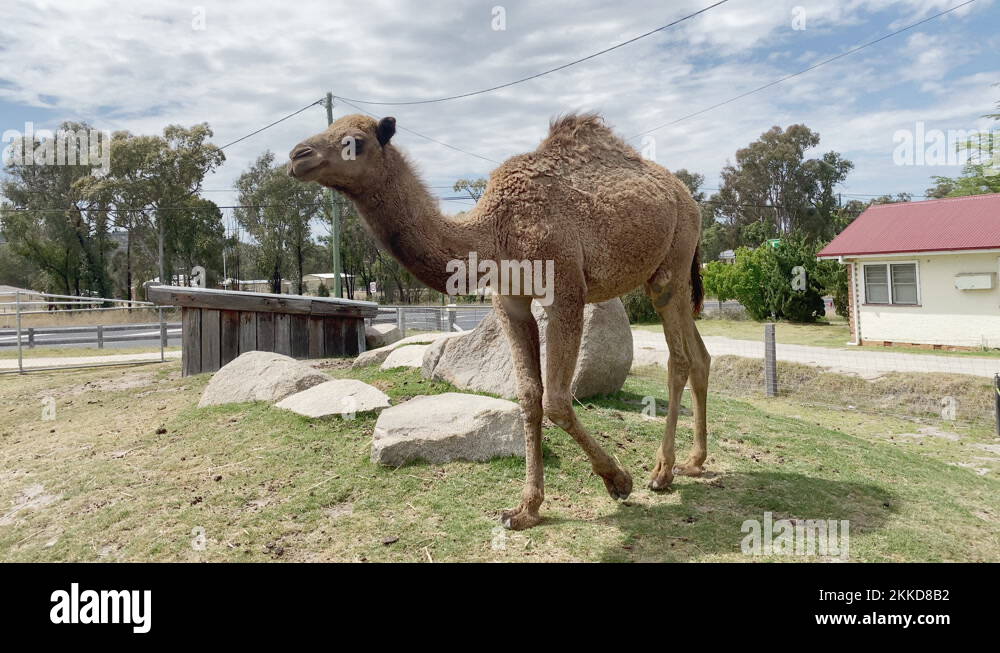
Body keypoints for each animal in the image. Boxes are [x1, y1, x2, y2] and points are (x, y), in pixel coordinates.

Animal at [288, 113, 710, 530]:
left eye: (355, 142)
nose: (297, 155)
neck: (493, 232)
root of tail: (687, 198)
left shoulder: (566, 290)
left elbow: (556, 400)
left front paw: (619, 481)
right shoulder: (510, 301)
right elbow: (528, 396)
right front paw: (525, 509)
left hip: (672, 264)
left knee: (678, 359)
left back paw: (662, 472)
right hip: (667, 273)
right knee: (700, 356)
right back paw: (694, 462)